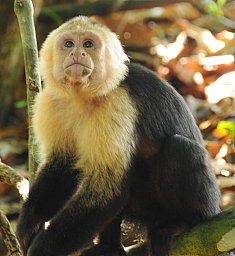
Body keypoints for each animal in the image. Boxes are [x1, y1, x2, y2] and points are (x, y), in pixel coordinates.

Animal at [17, 16, 221, 256]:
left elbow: (108, 190)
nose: (77, 53)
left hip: (205, 205)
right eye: (68, 44)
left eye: (88, 44)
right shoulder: (51, 102)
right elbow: (62, 165)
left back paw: (182, 223)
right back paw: (109, 247)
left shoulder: (117, 102)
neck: (82, 96)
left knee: (179, 148)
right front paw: (28, 221)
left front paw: (42, 248)